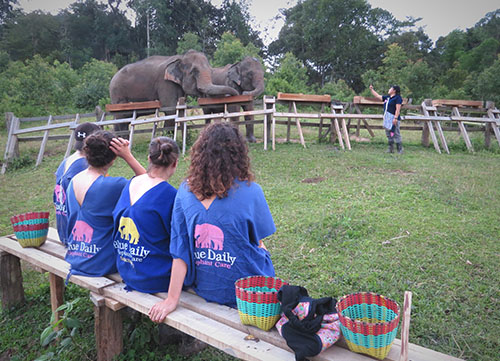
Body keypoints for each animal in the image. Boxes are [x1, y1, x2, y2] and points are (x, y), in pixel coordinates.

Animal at [109, 50, 238, 134]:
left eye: (211, 71)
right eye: (194, 72)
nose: (234, 94)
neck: (180, 58)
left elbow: (179, 109)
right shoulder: (164, 83)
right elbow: (170, 109)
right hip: (118, 93)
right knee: (122, 117)